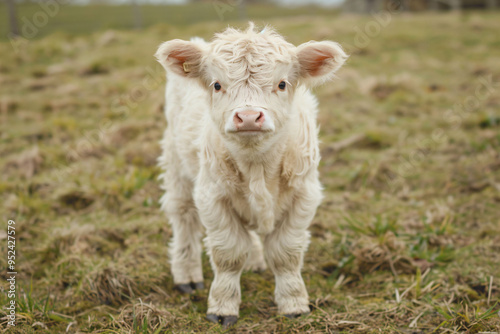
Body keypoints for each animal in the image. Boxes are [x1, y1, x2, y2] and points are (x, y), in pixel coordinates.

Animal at [156, 23, 348, 326]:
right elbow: (229, 253)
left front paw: (293, 303)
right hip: (177, 164)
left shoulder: (304, 195)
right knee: (184, 216)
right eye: (217, 84)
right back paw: (187, 275)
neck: (258, 166)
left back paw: (255, 261)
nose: (247, 117)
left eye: (282, 84)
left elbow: (285, 253)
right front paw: (222, 307)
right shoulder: (211, 196)